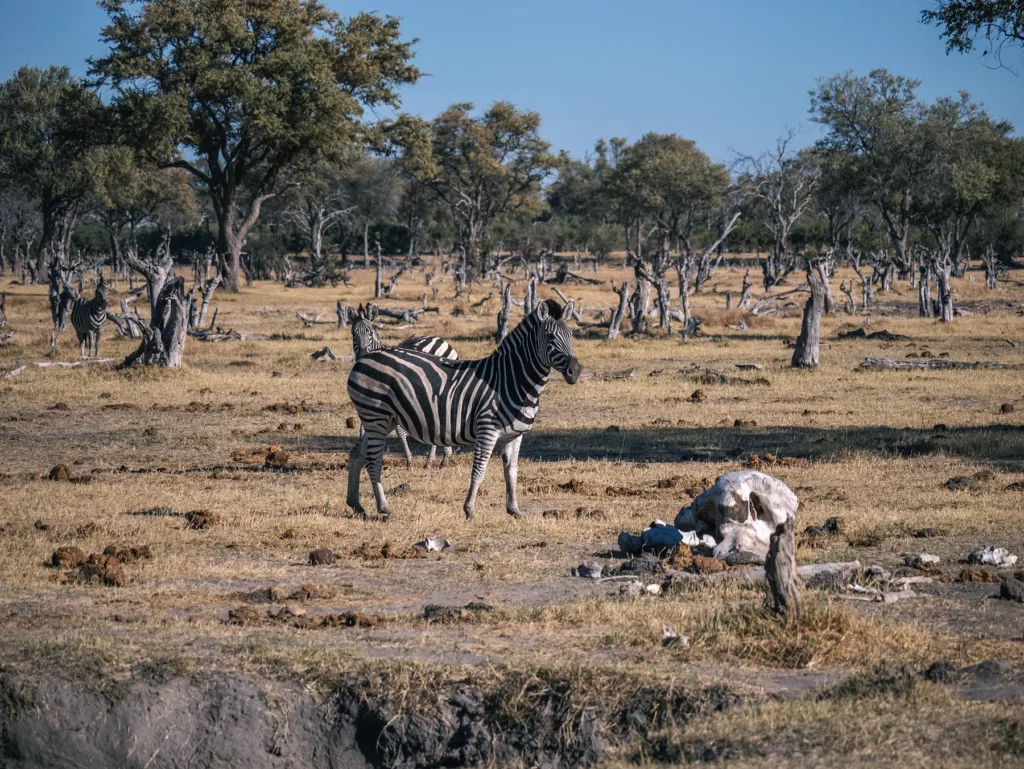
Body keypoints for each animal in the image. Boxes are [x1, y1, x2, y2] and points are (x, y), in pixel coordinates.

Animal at [346, 303, 458, 469]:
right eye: (354, 334)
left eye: (370, 333)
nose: (362, 354)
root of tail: (440, 339)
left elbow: (401, 432)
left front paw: (409, 462)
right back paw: (438, 459)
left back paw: (434, 461)